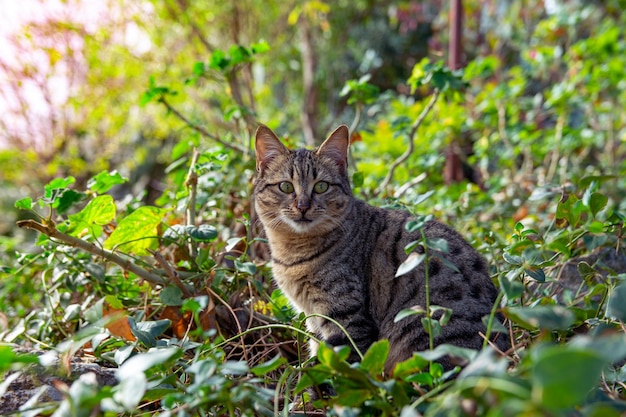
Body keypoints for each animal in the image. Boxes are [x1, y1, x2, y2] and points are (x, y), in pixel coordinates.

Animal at [251, 122, 504, 372]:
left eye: (321, 186)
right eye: (285, 186)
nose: (303, 206)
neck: (292, 252)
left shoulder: (347, 319)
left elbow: (340, 370)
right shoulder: (313, 319)